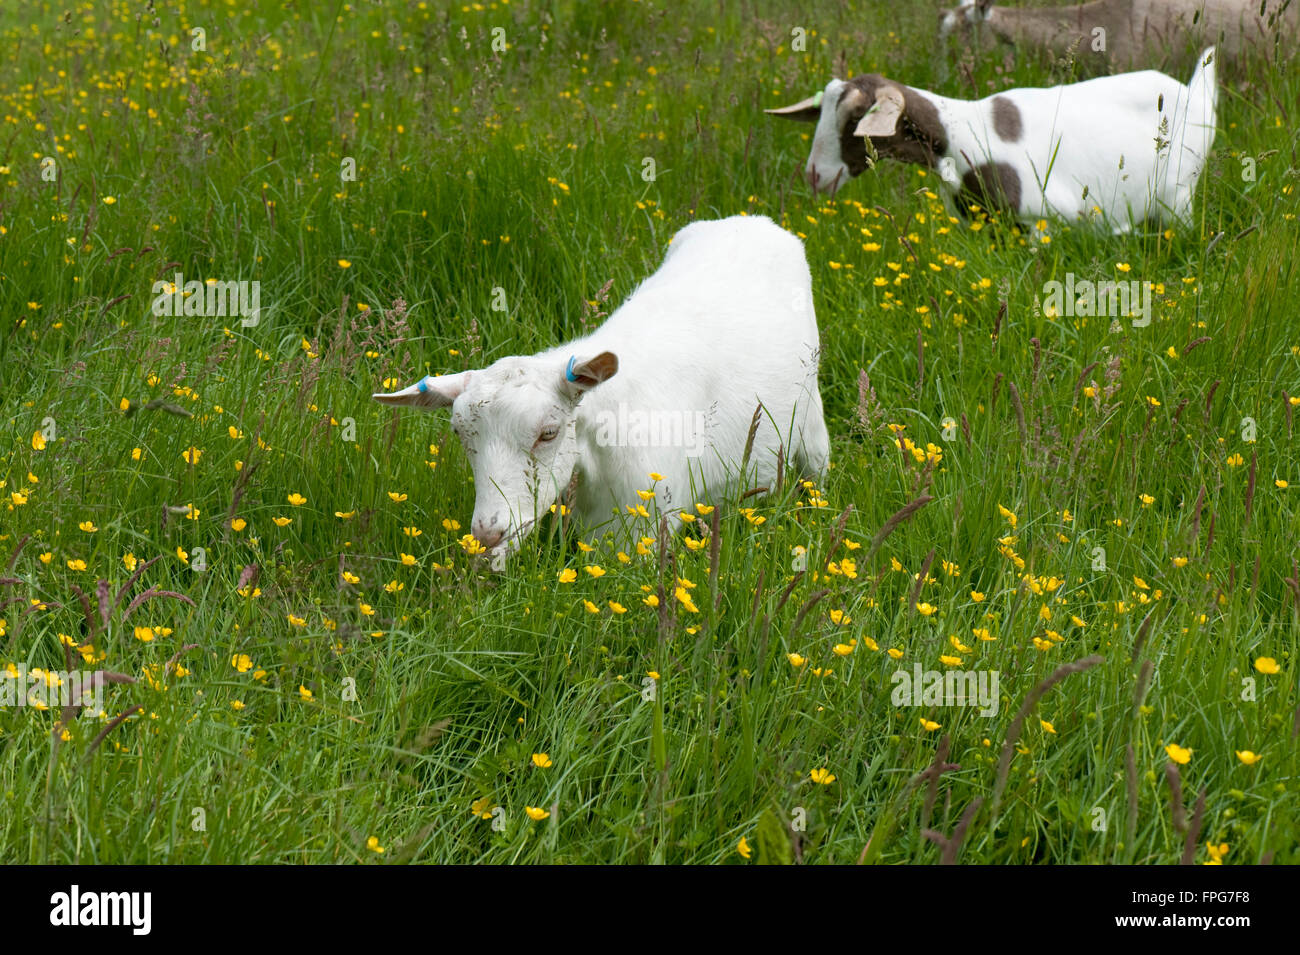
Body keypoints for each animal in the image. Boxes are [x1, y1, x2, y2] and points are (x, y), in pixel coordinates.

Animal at [373, 215, 831, 563]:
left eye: (549, 433)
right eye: (459, 434)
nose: (487, 534)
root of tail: (755, 221)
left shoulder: (643, 533)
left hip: (812, 428)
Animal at [766, 48, 1217, 233]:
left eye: (857, 119)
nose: (816, 176)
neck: (962, 134)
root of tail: (1195, 91)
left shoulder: (1043, 222)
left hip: (1180, 196)